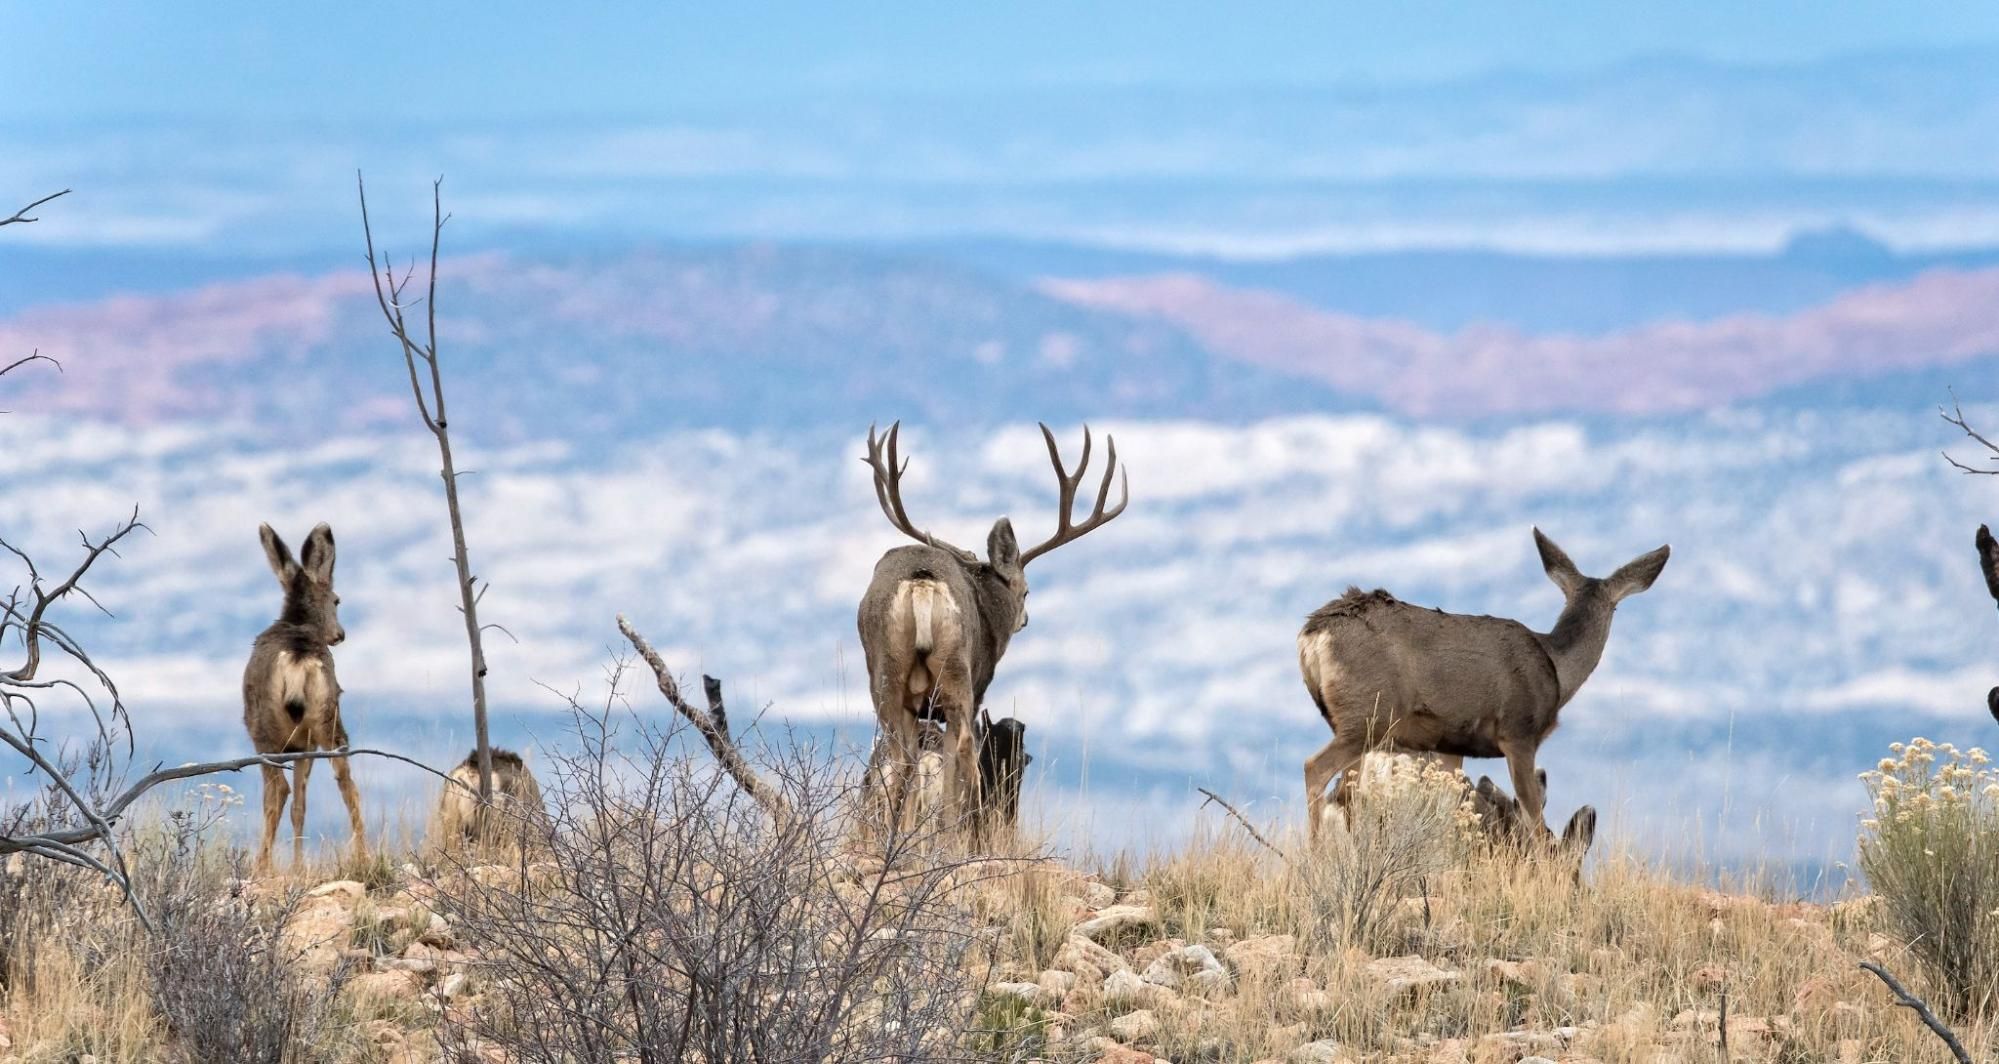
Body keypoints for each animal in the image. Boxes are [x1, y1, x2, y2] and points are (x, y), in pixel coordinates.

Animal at [242, 523, 365, 872]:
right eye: (337, 600)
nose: (340, 634)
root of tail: (299, 658)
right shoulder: (303, 746)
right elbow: (301, 805)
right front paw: (298, 867)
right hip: (326, 719)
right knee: (345, 782)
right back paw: (363, 855)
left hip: (265, 731)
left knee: (276, 792)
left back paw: (262, 866)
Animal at [856, 421, 1126, 835]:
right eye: (1026, 590)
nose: (1025, 619)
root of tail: (922, 582)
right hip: (958, 674)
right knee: (963, 750)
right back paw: (954, 836)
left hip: (885, 673)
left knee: (900, 757)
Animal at [1298, 527, 1668, 843]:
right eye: (1616, 607)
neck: (1556, 667)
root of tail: (1312, 633)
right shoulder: (1519, 733)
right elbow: (1533, 819)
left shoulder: (1448, 743)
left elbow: (1445, 809)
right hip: (1369, 715)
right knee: (1315, 768)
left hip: (1357, 724)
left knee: (1345, 792)